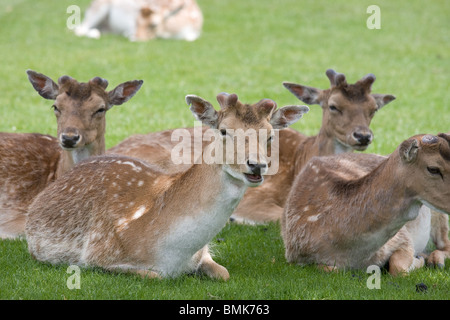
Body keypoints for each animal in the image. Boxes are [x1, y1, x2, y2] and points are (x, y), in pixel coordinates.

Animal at [24, 92, 310, 280]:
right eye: (224, 131)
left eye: (270, 135)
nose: (257, 165)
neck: (173, 254)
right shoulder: (98, 255)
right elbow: (156, 276)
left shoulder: (204, 253)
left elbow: (224, 273)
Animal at [282, 132, 450, 276]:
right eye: (433, 169)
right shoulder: (295, 258)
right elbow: (330, 269)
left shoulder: (403, 237)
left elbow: (398, 268)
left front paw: (418, 260)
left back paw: (435, 260)